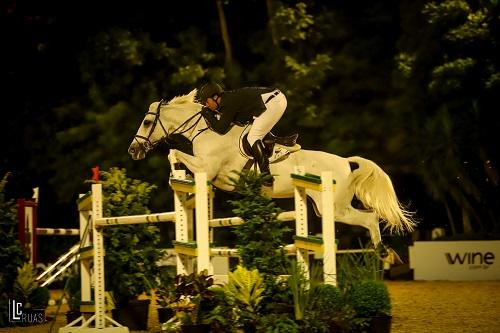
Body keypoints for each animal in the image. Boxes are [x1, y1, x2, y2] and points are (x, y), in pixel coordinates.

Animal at [127, 89, 416, 250]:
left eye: (147, 122)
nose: (133, 150)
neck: (205, 131)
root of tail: (346, 162)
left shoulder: (207, 168)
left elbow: (175, 153)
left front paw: (173, 168)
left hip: (333, 208)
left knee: (369, 219)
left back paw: (379, 259)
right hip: (327, 207)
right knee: (369, 217)